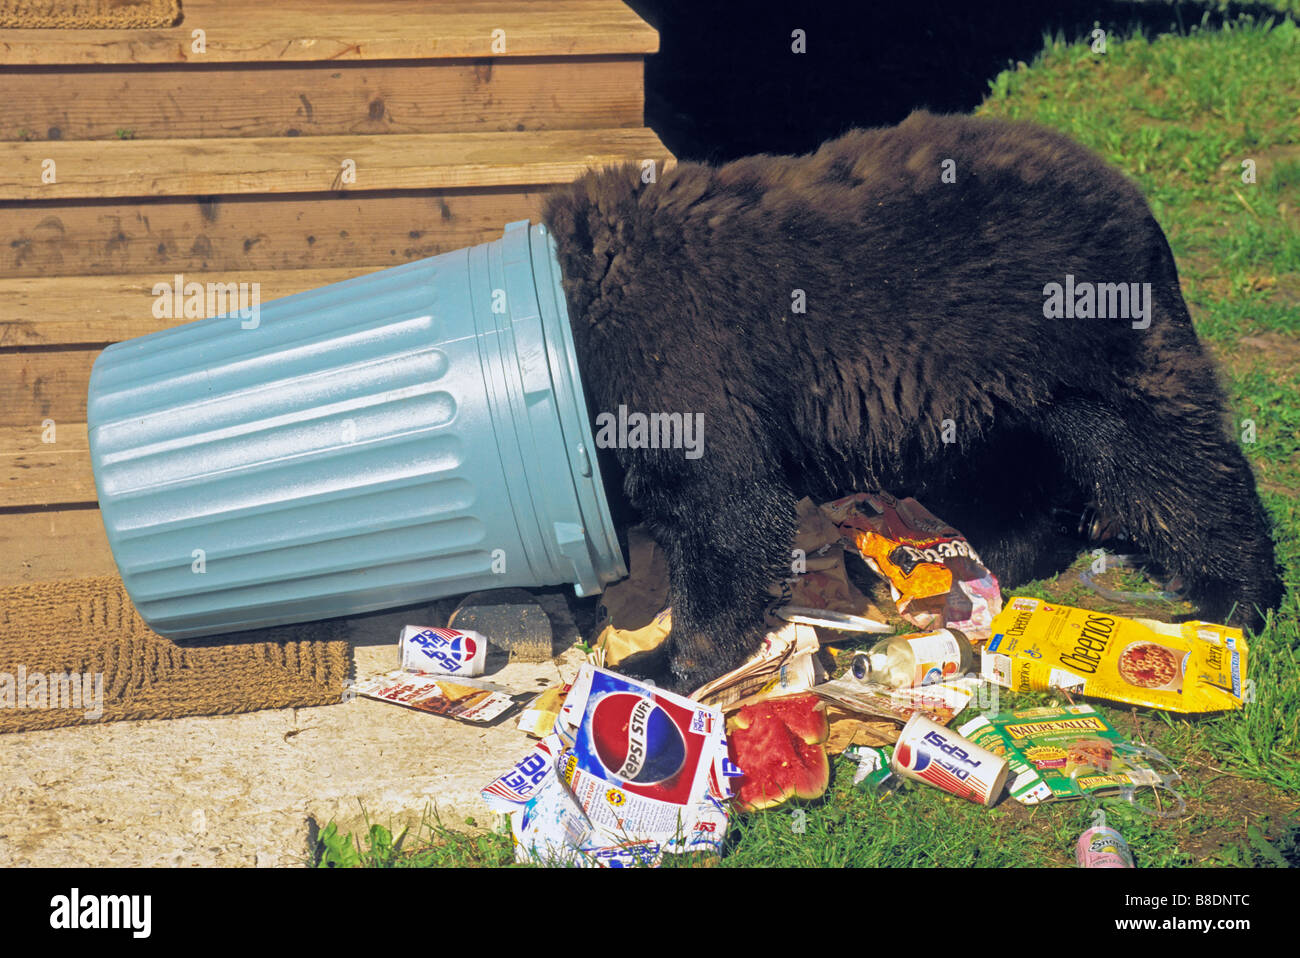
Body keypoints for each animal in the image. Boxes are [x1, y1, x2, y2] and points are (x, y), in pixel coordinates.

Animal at [540, 110, 1283, 695]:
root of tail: (1130, 194)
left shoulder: (676, 359)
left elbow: (724, 511)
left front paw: (660, 662)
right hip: (996, 387)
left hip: (1082, 335)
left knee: (1165, 456)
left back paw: (1235, 600)